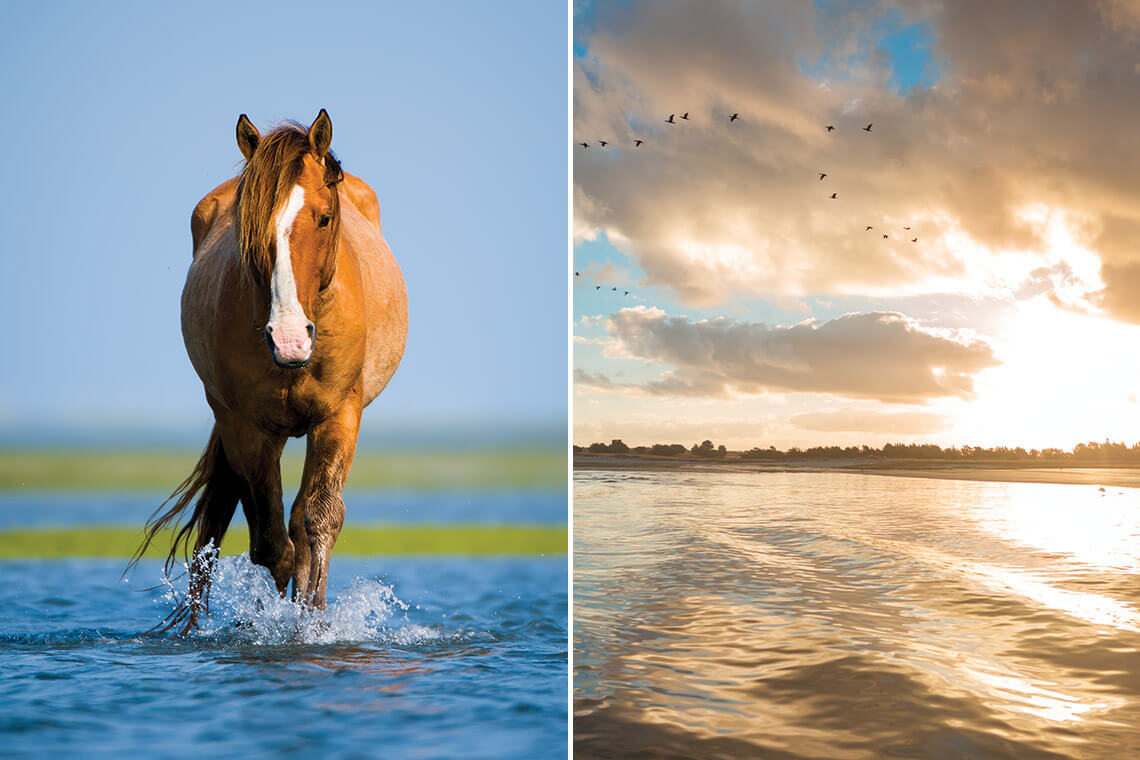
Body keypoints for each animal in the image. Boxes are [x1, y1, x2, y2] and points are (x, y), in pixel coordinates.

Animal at [134, 110, 408, 633]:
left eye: (324, 217)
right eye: (251, 224)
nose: (289, 338)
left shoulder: (339, 415)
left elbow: (320, 521)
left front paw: (313, 623)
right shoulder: (247, 426)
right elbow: (270, 545)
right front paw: (279, 624)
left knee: (300, 520)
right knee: (255, 527)